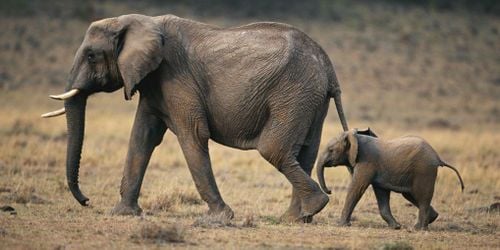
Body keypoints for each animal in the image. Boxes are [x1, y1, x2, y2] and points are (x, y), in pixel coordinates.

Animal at [42, 14, 348, 223]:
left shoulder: (175, 77)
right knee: (304, 153)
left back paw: (314, 206)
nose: (86, 201)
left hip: (294, 92)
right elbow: (142, 137)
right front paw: (123, 213)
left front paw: (220, 218)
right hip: (310, 98)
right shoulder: (153, 84)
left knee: (274, 150)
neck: (138, 21)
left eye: (91, 56)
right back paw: (297, 218)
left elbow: (193, 135)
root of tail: (329, 67)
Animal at [316, 129, 464, 230]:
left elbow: (357, 188)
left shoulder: (366, 162)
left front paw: (341, 225)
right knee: (411, 195)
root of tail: (437, 157)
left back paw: (418, 228)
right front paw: (396, 227)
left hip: (424, 170)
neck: (355, 137)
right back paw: (431, 219)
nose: (329, 191)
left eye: (331, 150)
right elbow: (381, 193)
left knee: (422, 197)